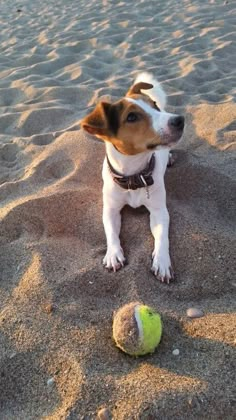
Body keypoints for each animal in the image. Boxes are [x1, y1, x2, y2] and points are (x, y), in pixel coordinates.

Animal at [81, 73, 184, 282]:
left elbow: (162, 237)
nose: (180, 120)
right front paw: (113, 253)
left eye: (154, 105)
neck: (134, 176)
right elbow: (111, 232)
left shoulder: (159, 211)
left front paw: (162, 261)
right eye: (131, 117)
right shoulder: (110, 209)